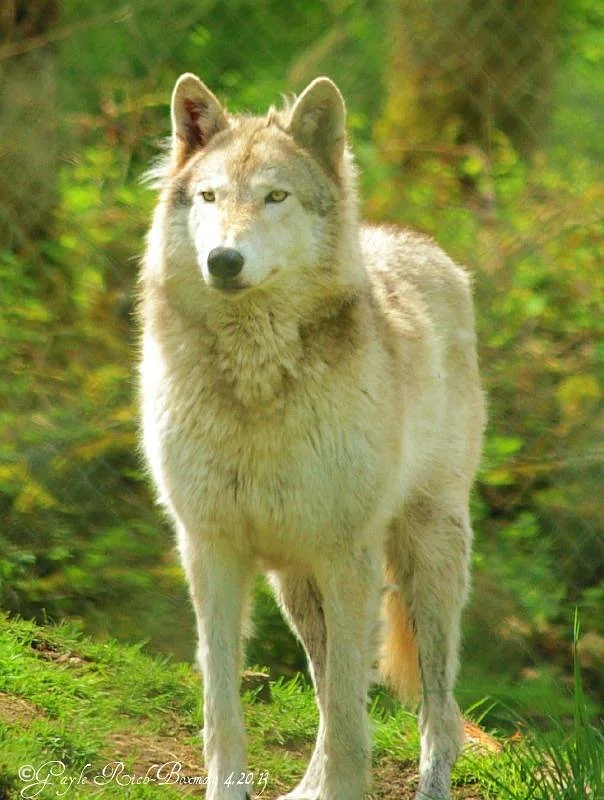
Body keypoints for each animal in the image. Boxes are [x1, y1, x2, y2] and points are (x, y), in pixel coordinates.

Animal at [139, 73, 486, 800]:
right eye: (210, 196)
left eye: (276, 196)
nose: (224, 260)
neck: (255, 383)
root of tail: (419, 243)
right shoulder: (209, 551)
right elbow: (223, 709)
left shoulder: (346, 555)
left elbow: (357, 715)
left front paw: (347, 786)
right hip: (296, 585)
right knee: (329, 688)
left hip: (426, 561)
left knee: (437, 713)